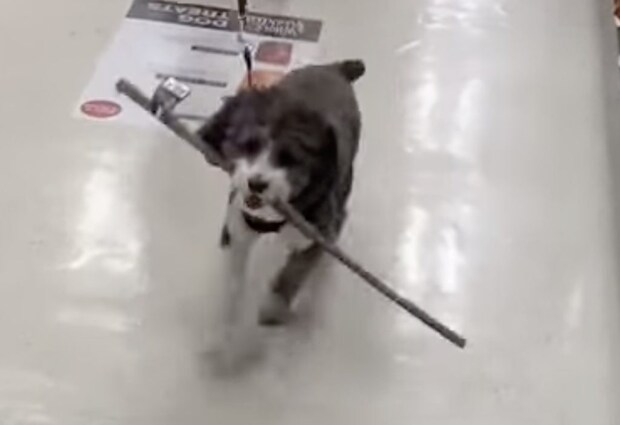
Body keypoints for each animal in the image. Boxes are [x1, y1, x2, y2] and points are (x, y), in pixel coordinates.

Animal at [198, 60, 365, 327]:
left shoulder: (317, 235)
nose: (256, 183)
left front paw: (273, 307)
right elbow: (233, 280)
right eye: (247, 145)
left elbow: (293, 273)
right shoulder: (237, 228)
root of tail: (334, 68)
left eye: (291, 159)